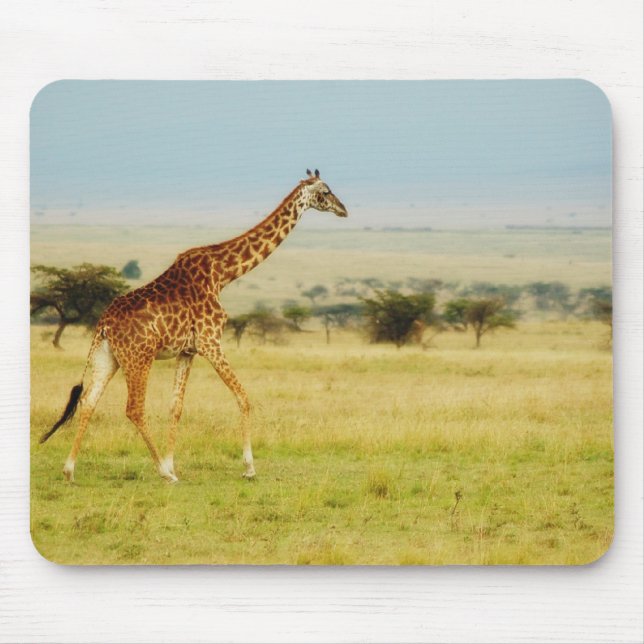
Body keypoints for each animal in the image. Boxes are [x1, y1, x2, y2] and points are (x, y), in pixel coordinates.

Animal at [40, 169, 348, 483]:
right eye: (325, 191)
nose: (343, 210)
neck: (222, 274)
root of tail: (103, 325)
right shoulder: (211, 342)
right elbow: (243, 397)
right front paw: (248, 467)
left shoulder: (187, 351)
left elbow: (176, 407)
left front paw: (172, 461)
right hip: (139, 358)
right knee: (134, 409)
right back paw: (164, 474)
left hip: (109, 357)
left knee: (89, 401)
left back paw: (69, 470)